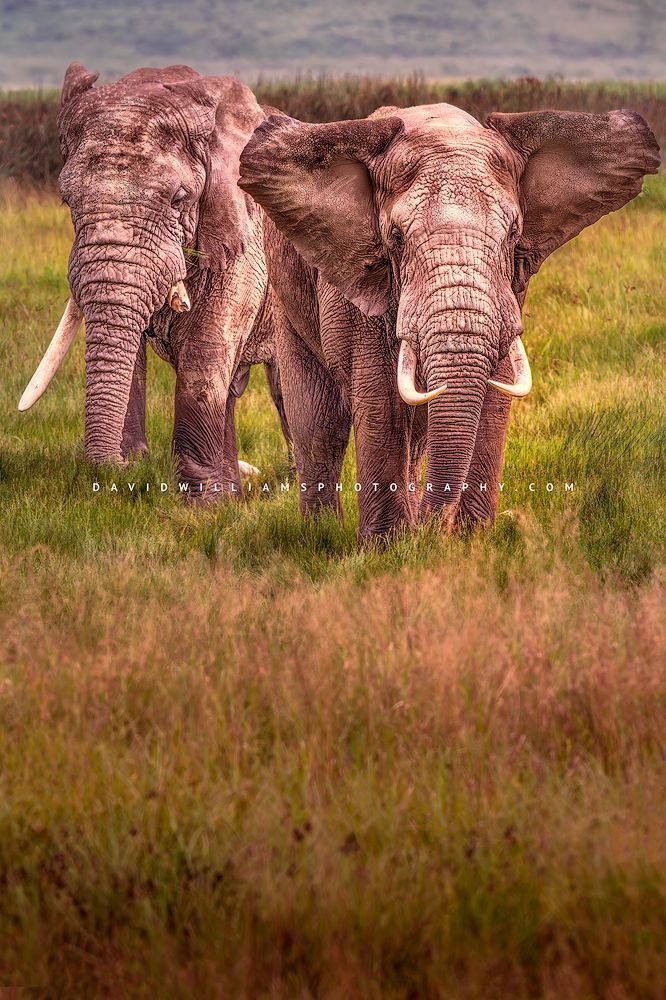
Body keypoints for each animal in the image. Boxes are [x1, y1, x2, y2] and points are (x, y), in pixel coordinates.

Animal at [18, 63, 291, 498]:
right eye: (66, 200)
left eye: (179, 199)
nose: (118, 468)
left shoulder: (245, 235)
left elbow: (205, 347)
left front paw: (200, 503)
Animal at [238, 103, 659, 542]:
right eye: (396, 238)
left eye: (514, 234)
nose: (435, 527)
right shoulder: (358, 277)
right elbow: (378, 396)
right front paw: (387, 546)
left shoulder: (512, 286)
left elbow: (497, 391)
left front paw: (470, 539)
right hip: (287, 298)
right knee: (320, 423)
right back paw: (322, 532)